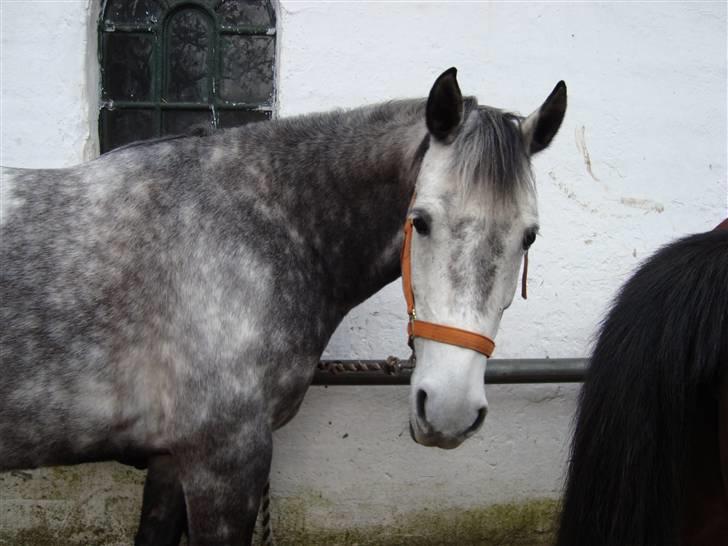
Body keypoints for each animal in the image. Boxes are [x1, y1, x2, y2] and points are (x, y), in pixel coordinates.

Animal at [0, 70, 564, 540]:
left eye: (530, 236)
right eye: (420, 221)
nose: (449, 411)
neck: (252, 226)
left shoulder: (169, 461)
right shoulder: (224, 461)